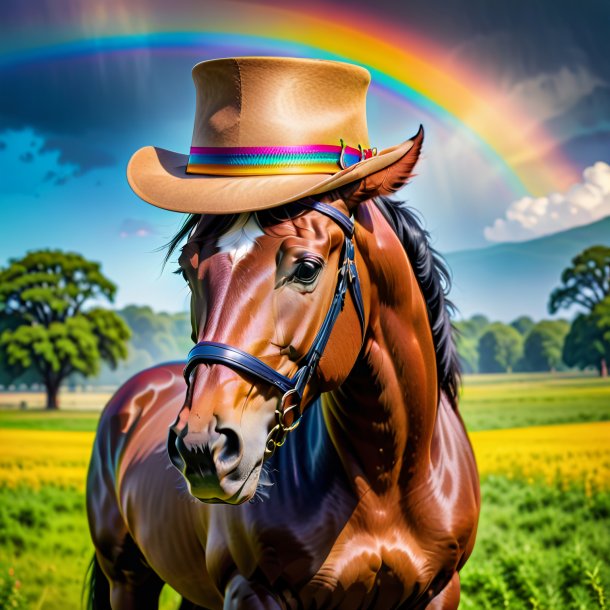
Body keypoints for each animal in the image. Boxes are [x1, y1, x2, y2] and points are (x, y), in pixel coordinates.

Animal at [86, 129, 480, 608]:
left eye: (307, 268)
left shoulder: (441, 589)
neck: (386, 481)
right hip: (127, 578)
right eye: (186, 270)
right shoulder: (250, 590)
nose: (200, 446)